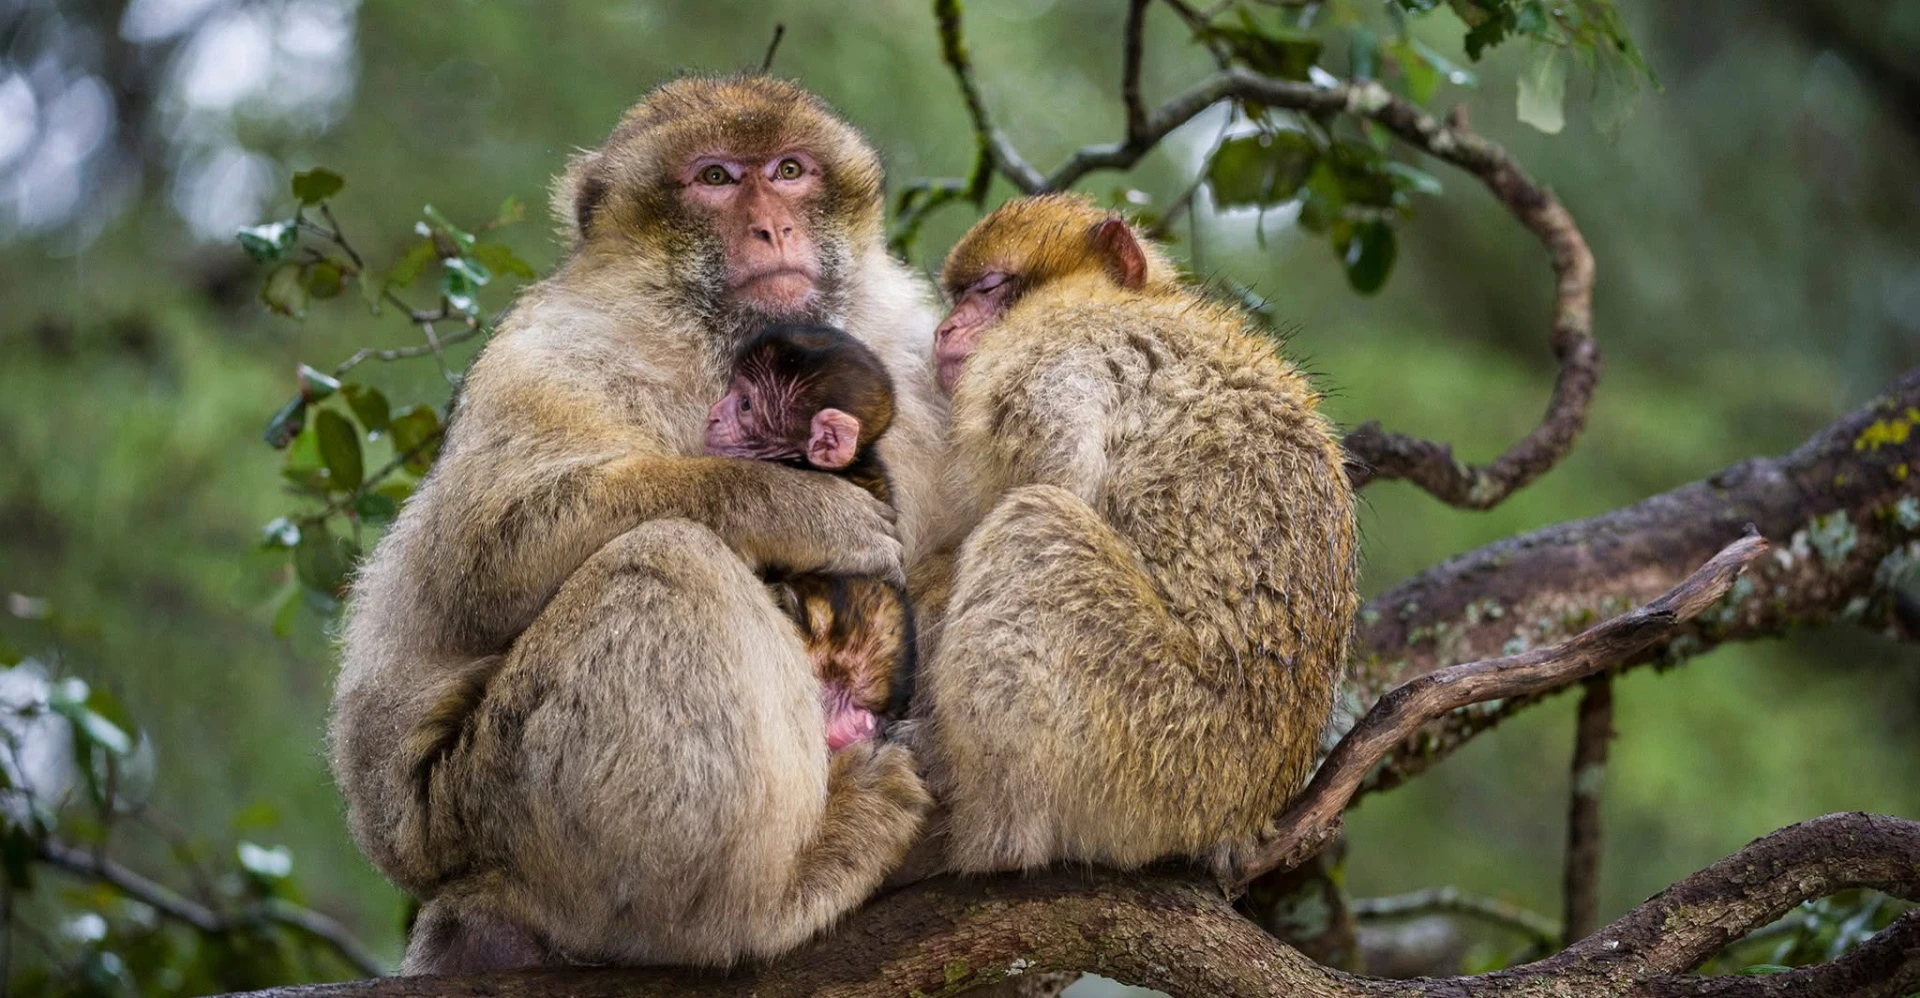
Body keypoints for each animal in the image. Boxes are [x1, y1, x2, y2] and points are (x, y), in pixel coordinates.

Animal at [914, 193, 1360, 880]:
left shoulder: (1048, 343)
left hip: (1160, 744)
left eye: (987, 288)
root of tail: (1244, 814)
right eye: (955, 296)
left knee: (1034, 525)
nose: (946, 331)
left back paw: (987, 834)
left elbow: (1059, 471)